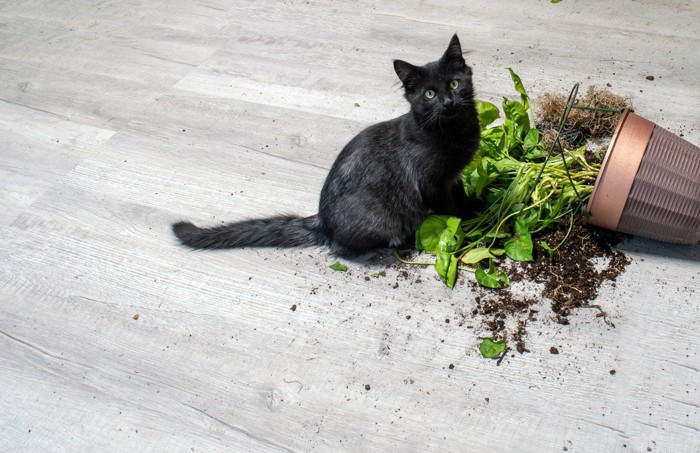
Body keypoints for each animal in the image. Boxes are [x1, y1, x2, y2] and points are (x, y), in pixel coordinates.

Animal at [174, 33, 482, 256]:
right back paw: (397, 244)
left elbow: (461, 194)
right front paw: (464, 233)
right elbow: (449, 213)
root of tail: (321, 220)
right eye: (429, 94)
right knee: (345, 248)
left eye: (454, 84)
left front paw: (475, 210)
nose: (447, 102)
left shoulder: (453, 176)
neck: (453, 130)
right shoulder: (432, 185)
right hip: (379, 218)